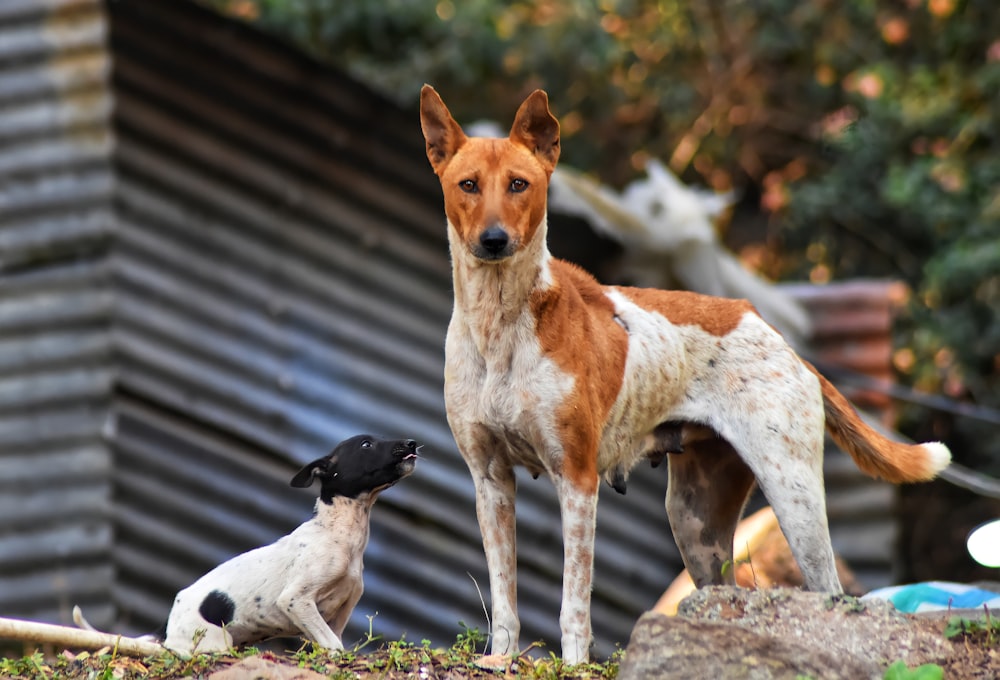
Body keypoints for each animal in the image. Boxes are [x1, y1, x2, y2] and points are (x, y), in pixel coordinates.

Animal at [160, 432, 418, 656]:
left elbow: (331, 640)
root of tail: (168, 634)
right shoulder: (295, 600)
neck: (338, 532)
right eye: (366, 444)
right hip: (214, 641)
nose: (412, 443)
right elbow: (332, 644)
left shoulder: (342, 609)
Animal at [420, 86, 952, 664]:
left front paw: (574, 663)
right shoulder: (490, 480)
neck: (498, 325)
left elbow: (573, 607)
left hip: (794, 498)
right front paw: (499, 659)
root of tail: (783, 341)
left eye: (519, 184)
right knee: (727, 595)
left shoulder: (577, 480)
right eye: (468, 185)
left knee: (829, 592)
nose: (494, 240)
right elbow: (504, 600)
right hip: (695, 523)